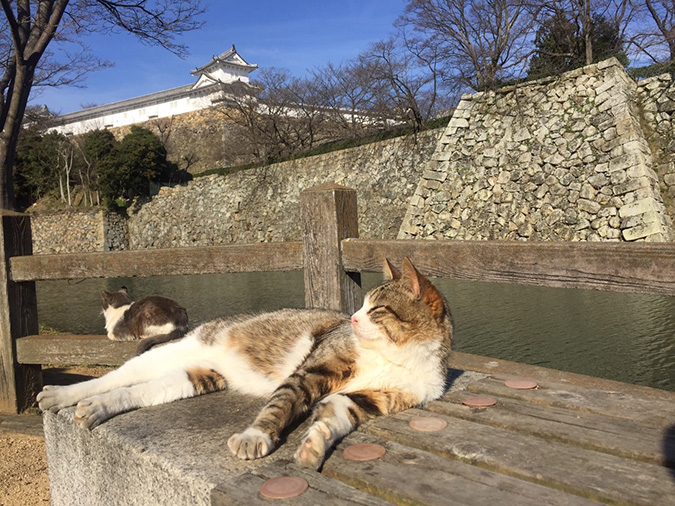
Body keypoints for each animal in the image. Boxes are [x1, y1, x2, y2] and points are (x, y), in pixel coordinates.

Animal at [39, 258, 456, 472]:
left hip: (197, 375)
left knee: (139, 391)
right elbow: (280, 403)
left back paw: (97, 407)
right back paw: (62, 394)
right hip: (172, 352)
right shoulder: (310, 371)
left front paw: (314, 445)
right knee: (114, 376)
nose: (352, 318)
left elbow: (338, 413)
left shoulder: (377, 398)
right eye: (364, 304)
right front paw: (256, 436)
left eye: (377, 308)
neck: (396, 355)